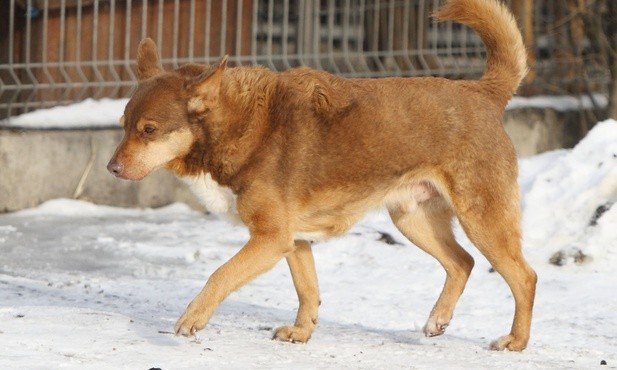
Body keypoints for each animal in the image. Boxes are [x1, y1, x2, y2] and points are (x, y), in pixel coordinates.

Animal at [108, 0, 536, 352]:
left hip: (482, 219)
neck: (238, 126)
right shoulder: (293, 241)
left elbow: (219, 275)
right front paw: (301, 332)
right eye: (124, 125)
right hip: (413, 219)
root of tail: (481, 92)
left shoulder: (270, 239)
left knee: (524, 277)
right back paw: (438, 320)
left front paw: (192, 318)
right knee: (463, 262)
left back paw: (516, 341)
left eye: (149, 130)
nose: (112, 168)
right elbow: (307, 290)